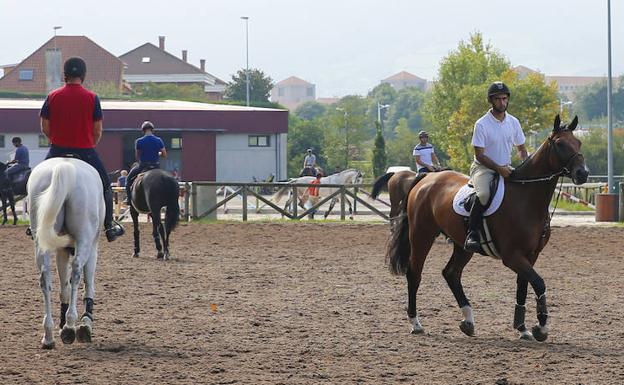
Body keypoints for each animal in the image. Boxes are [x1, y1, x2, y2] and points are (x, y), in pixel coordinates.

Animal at [27, 156, 103, 348]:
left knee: (45, 278)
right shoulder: (93, 248)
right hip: (85, 238)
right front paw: (85, 323)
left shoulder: (61, 250)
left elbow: (64, 287)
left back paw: (49, 335)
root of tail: (63, 166)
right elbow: (88, 284)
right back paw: (70, 325)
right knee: (76, 273)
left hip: (42, 242)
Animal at [388, 115, 588, 340]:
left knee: (451, 273)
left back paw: (468, 321)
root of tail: (428, 178)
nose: (583, 173)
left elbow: (523, 287)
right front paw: (541, 327)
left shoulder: (531, 255)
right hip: (422, 235)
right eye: (560, 144)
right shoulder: (512, 256)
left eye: (578, 142)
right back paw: (415, 323)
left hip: (462, 245)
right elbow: (538, 283)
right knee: (414, 274)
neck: (526, 198)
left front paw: (522, 328)